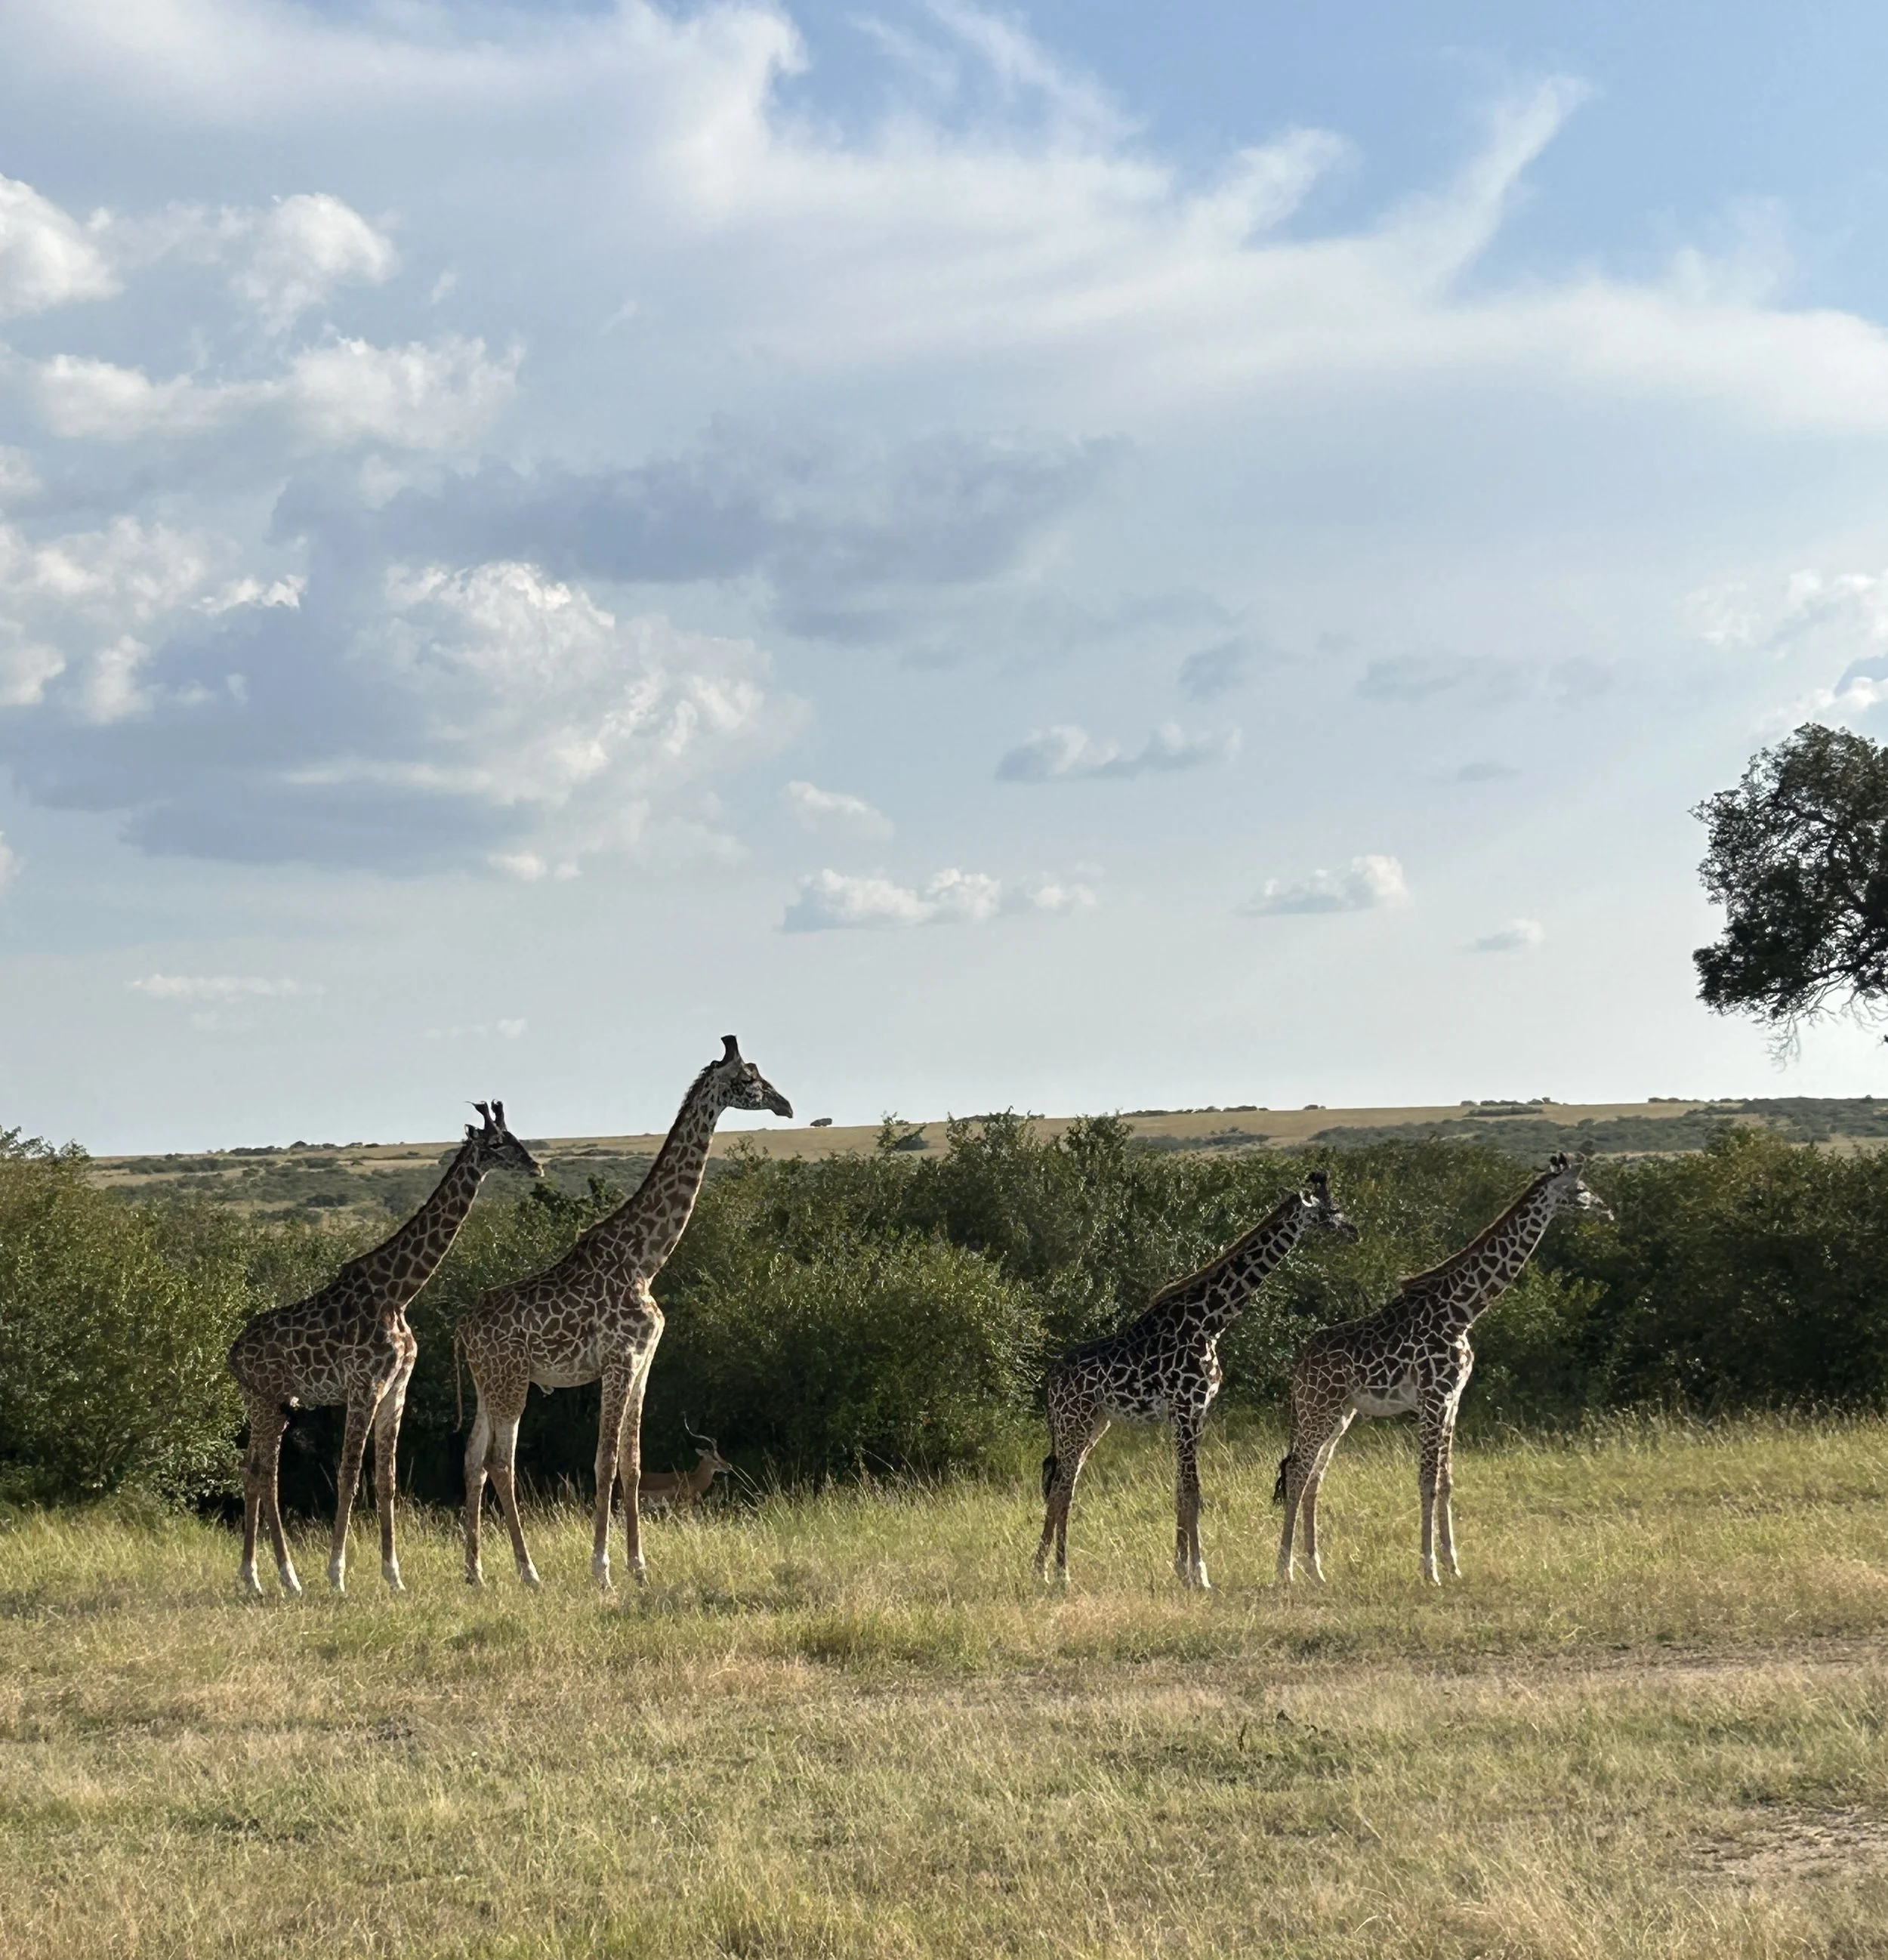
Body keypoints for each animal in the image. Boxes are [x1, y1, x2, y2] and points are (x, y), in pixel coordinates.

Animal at [227, 1101, 542, 1598]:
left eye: (516, 1136)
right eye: (496, 1143)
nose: (536, 1166)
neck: (398, 1294)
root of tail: (233, 1353)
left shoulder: (397, 1388)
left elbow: (387, 1479)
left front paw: (394, 1576)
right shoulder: (364, 1386)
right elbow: (348, 1475)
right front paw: (336, 1575)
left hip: (270, 1401)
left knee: (254, 1469)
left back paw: (258, 1578)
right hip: (267, 1400)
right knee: (264, 1473)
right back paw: (284, 1577)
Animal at [455, 1036, 792, 1590]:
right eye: (749, 1079)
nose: (786, 1105)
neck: (645, 1259)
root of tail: (462, 1329)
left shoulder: (643, 1361)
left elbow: (632, 1463)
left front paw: (639, 1566)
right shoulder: (617, 1361)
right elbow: (605, 1460)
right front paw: (602, 1568)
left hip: (489, 1383)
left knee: (472, 1458)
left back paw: (475, 1573)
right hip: (512, 1381)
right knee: (500, 1462)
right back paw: (529, 1572)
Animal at [1033, 1169, 1358, 1588]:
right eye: (1330, 1210)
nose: (1353, 1230)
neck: (1211, 1322)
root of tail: (1051, 1384)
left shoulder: (1195, 1412)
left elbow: (1179, 1491)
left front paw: (1181, 1569)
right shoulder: (1187, 1408)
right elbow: (1192, 1490)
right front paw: (1200, 1575)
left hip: (1093, 1423)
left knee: (1062, 1484)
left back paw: (1040, 1570)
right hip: (1074, 1421)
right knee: (1062, 1487)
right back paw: (1060, 1573)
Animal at [1275, 1151, 1613, 1587]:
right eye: (1581, 1189)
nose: (1607, 1209)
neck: (1462, 1312)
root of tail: (1297, 1364)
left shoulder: (1454, 1399)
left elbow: (1447, 1481)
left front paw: (1454, 1564)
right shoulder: (1434, 1398)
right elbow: (1426, 1481)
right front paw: (1429, 1569)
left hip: (1340, 1411)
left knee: (1314, 1476)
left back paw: (1316, 1569)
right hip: (1320, 1406)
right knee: (1298, 1472)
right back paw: (1284, 1570)